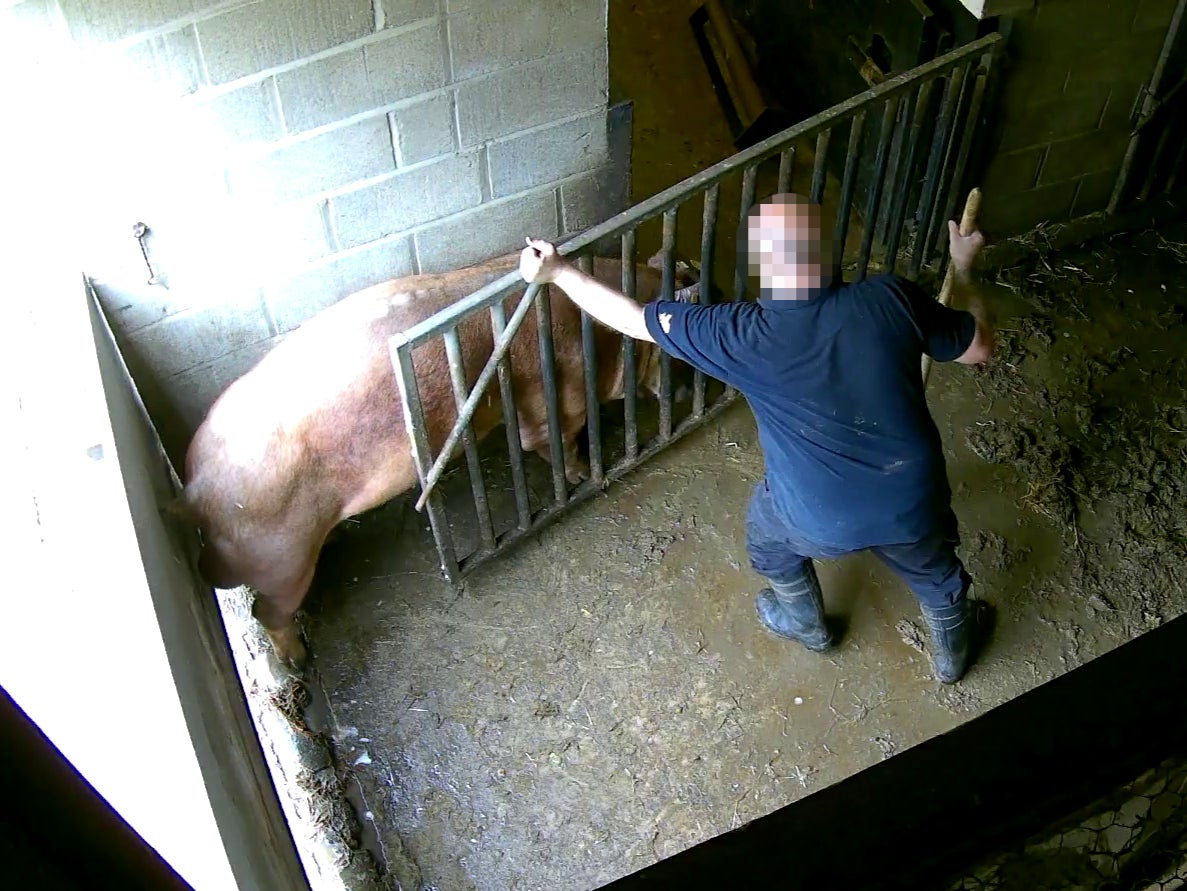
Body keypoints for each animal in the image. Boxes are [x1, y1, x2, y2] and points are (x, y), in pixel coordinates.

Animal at [173, 249, 693, 669]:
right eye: (668, 358)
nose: (685, 391)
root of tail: (193, 489)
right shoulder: (558, 405)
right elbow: (556, 445)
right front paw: (585, 472)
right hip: (279, 558)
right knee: (266, 611)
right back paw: (299, 661)